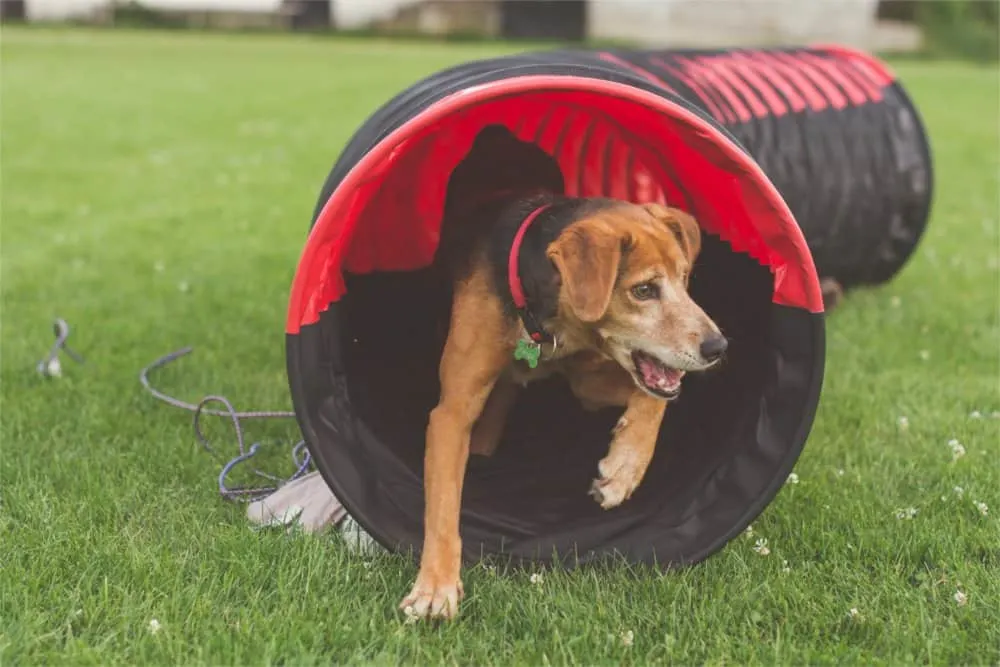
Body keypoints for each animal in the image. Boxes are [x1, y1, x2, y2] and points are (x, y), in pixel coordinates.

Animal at [400, 132, 728, 628]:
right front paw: (435, 589)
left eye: (686, 279)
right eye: (643, 290)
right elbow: (442, 506)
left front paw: (623, 470)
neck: (542, 315)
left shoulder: (586, 384)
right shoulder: (452, 412)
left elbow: (654, 399)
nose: (718, 347)